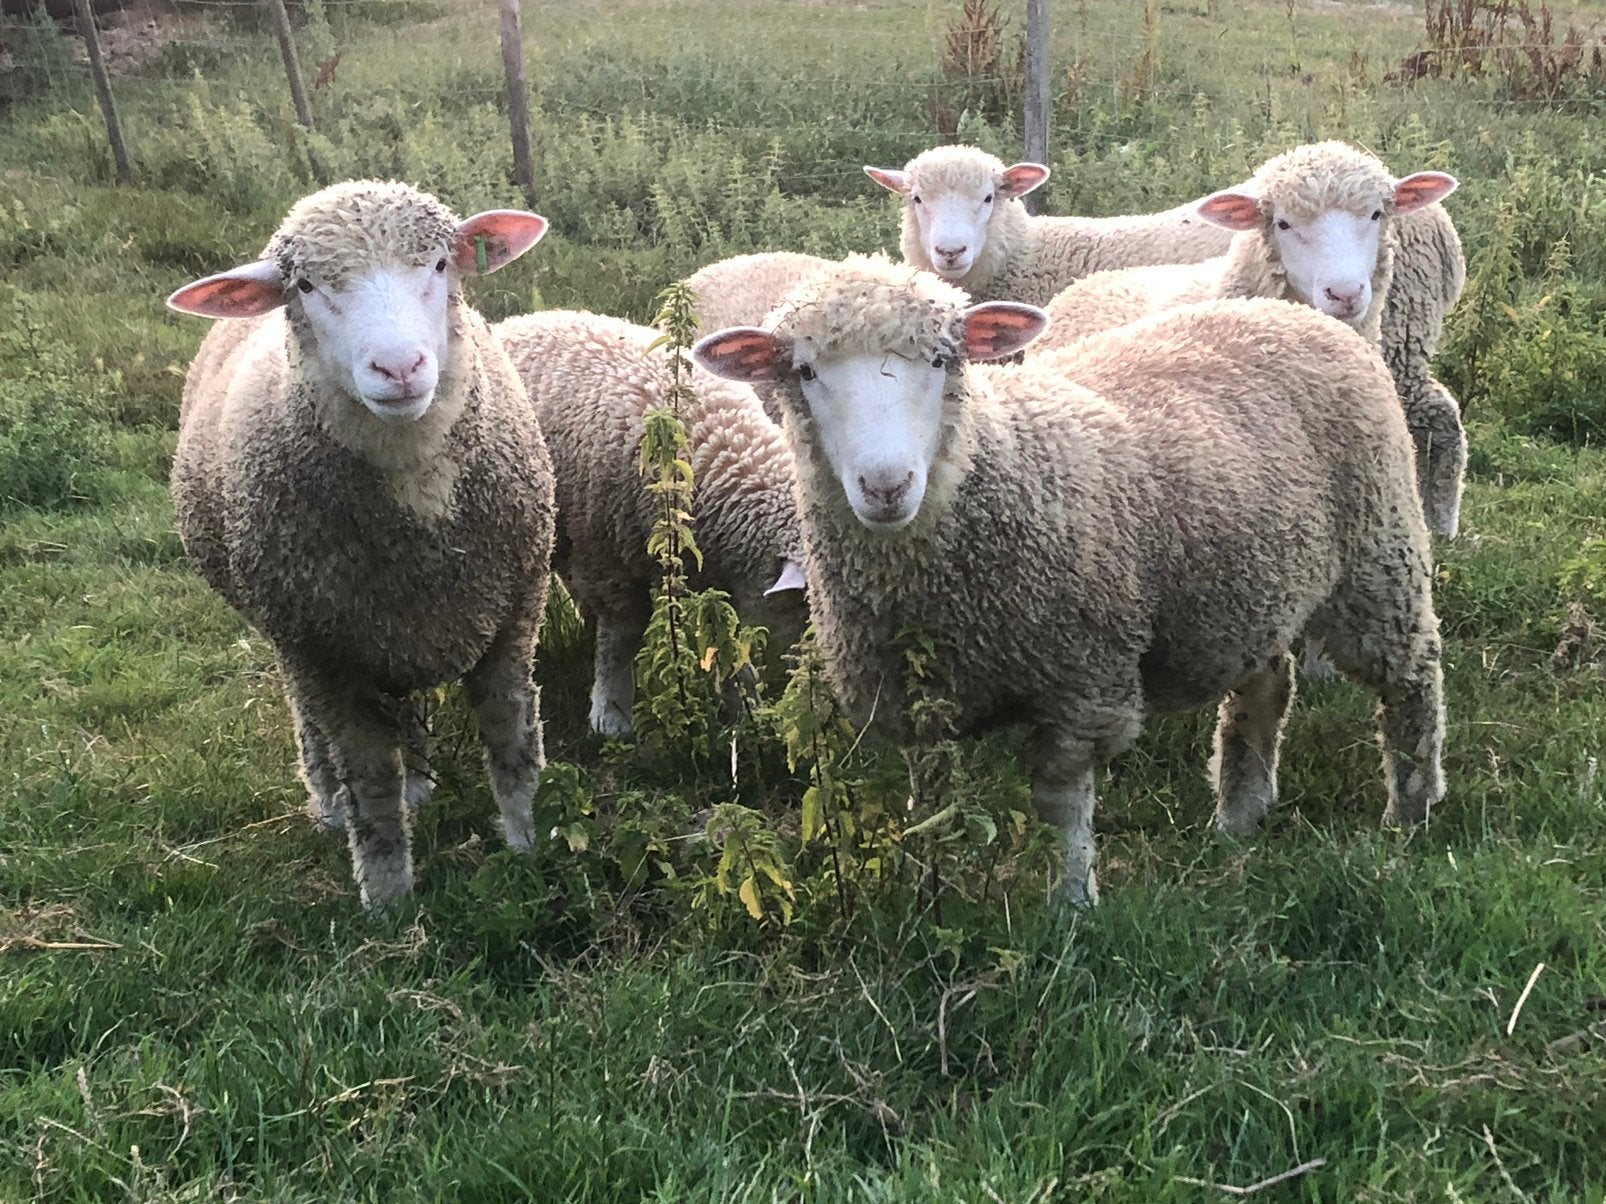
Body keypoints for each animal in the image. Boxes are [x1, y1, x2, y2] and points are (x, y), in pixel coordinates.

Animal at [167, 180, 556, 911]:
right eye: (306, 286)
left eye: (441, 265)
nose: (399, 367)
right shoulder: (325, 654)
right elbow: (370, 785)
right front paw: (389, 902)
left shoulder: (514, 615)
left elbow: (510, 738)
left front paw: (527, 847)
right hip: (293, 635)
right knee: (312, 725)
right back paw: (326, 802)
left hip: (395, 634)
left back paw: (420, 784)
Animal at [493, 308, 808, 737]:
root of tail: (515, 321)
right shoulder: (605, 560)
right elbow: (620, 638)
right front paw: (610, 715)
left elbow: (721, 634)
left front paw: (746, 709)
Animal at [692, 255, 1445, 906]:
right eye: (805, 371)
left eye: (941, 360)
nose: (885, 485)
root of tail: (1292, 313)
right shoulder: (915, 693)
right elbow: (929, 798)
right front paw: (926, 888)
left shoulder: (1080, 681)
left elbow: (1060, 804)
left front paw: (1071, 907)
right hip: (1249, 583)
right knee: (1265, 687)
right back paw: (1240, 814)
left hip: (1379, 551)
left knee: (1412, 679)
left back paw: (1410, 810)